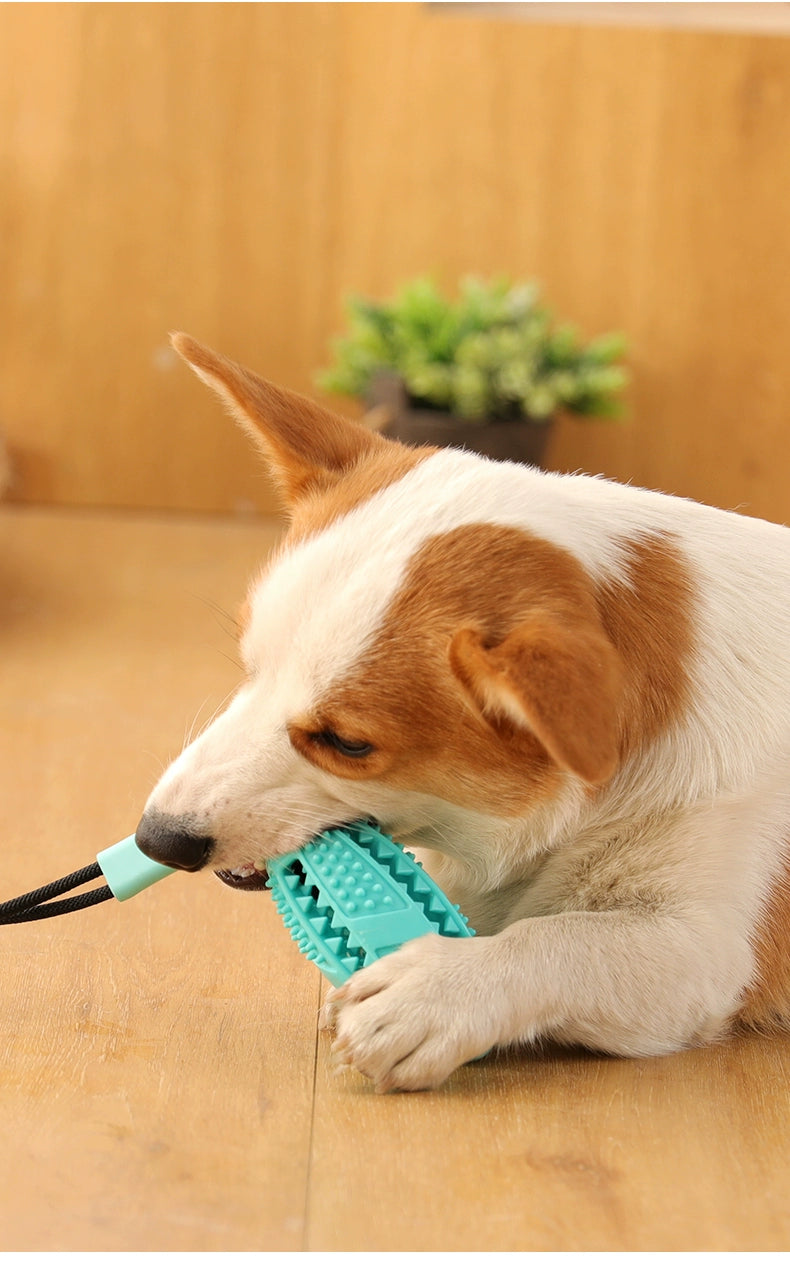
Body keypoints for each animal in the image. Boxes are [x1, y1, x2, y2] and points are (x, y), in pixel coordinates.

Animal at [135, 331, 790, 1093]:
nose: (156, 839)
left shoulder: (700, 947)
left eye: (348, 744)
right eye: (248, 667)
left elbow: (558, 938)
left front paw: (439, 990)